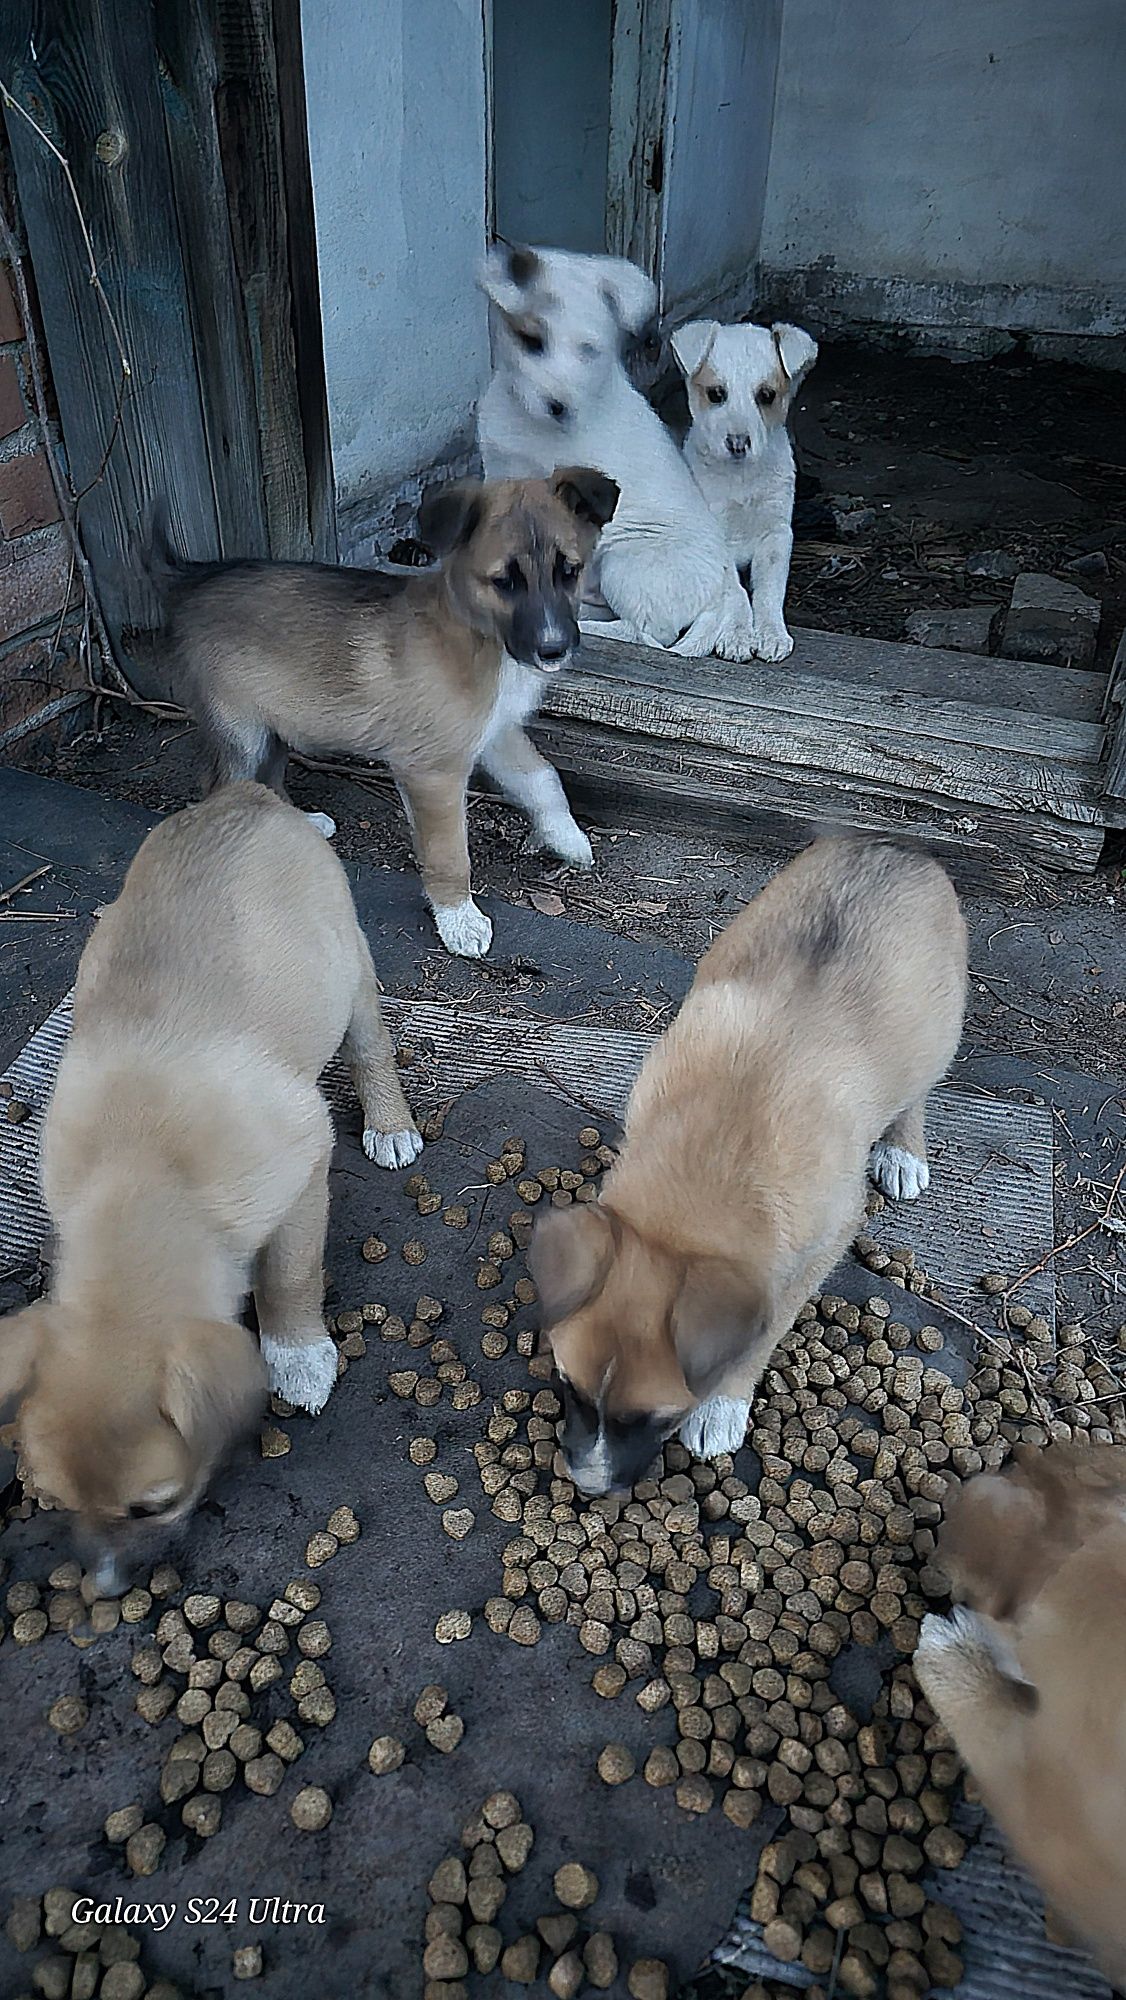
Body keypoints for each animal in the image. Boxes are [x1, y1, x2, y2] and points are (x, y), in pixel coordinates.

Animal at [145, 476, 620, 960]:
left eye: (570, 571)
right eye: (504, 581)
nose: (553, 650)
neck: (480, 639)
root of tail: (190, 577)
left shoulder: (495, 731)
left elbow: (543, 781)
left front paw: (568, 838)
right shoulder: (432, 770)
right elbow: (450, 852)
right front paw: (459, 920)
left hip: (274, 723)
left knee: (267, 779)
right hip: (241, 732)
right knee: (222, 787)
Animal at [476, 244, 756, 664]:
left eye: (588, 351)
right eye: (531, 341)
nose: (559, 407)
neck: (523, 417)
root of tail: (717, 590)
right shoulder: (496, 470)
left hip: (626, 559)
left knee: (646, 634)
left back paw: (590, 627)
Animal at [532, 836, 968, 1496]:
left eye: (654, 1419)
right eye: (569, 1388)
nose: (586, 1485)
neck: (716, 1151)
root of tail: (894, 844)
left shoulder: (822, 1244)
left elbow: (763, 1332)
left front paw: (723, 1405)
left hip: (935, 1030)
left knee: (917, 1089)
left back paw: (903, 1150)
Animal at [676, 318, 816, 664]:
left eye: (766, 395)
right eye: (716, 394)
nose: (738, 443)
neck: (740, 479)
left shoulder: (776, 535)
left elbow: (768, 592)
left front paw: (771, 634)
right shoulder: (713, 536)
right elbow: (735, 591)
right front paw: (738, 635)